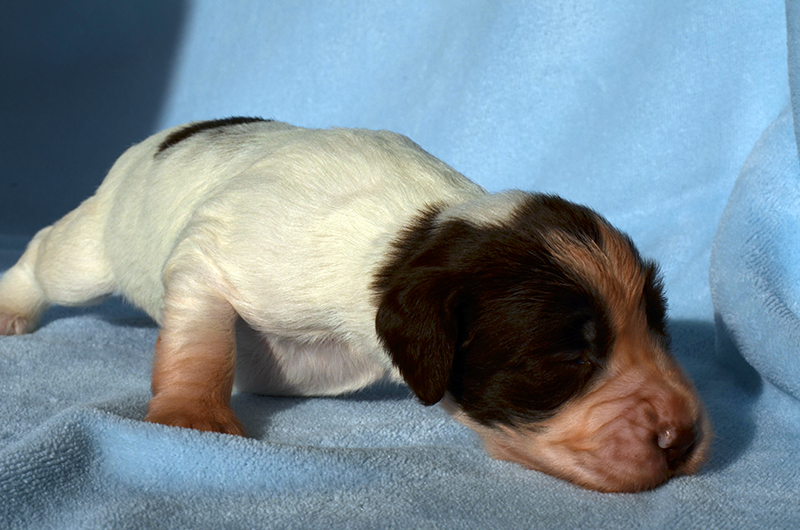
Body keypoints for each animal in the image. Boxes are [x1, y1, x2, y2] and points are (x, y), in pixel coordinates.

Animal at [0, 118, 712, 490]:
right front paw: (192, 415)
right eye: (566, 356)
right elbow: (200, 339)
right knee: (49, 253)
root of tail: (162, 136)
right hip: (99, 245)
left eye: (660, 329)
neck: (420, 236)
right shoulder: (211, 256)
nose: (683, 438)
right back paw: (14, 304)